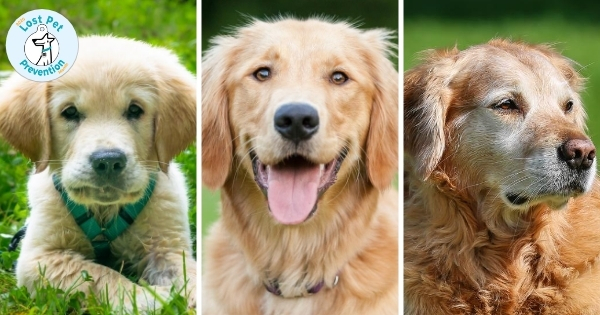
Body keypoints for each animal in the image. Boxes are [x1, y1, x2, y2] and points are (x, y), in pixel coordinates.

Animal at [0, 35, 197, 312]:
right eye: (70, 112)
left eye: (135, 110)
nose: (108, 161)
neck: (105, 213)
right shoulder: (39, 258)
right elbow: (98, 275)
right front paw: (145, 298)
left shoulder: (167, 245)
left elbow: (191, 274)